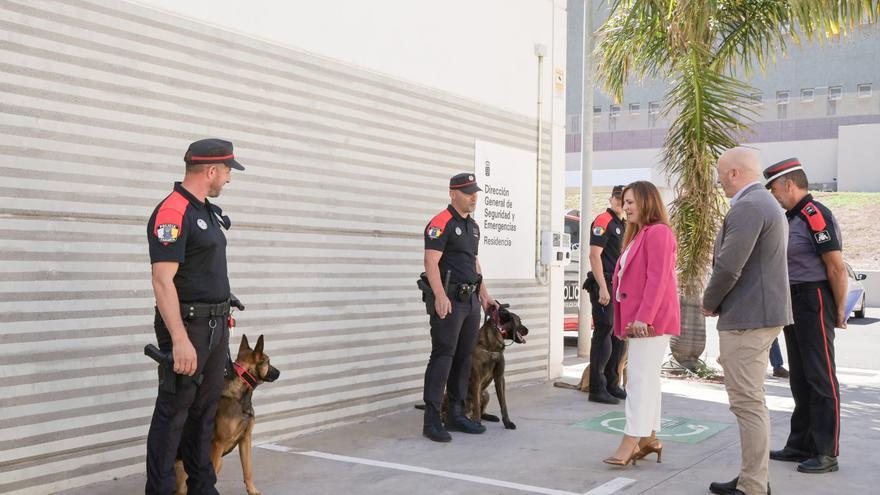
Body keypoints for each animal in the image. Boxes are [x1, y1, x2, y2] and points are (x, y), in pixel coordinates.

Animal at [174, 334, 280, 495]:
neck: (241, 393)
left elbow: (248, 469)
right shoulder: (218, 444)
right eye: (268, 361)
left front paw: (252, 490)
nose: (279, 372)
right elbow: (211, 475)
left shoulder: (245, 439)